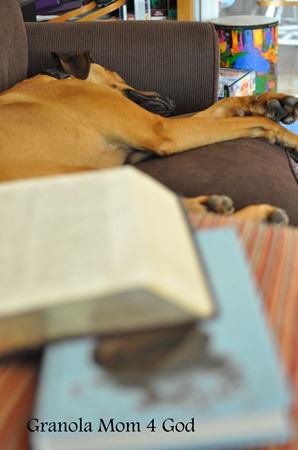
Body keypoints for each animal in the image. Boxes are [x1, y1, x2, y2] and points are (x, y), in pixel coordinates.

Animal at [0, 51, 298, 223]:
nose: (173, 102)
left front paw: (271, 102)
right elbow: (255, 122)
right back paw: (260, 216)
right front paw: (288, 137)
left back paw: (213, 206)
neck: (59, 78)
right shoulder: (163, 130)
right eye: (118, 75)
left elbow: (225, 105)